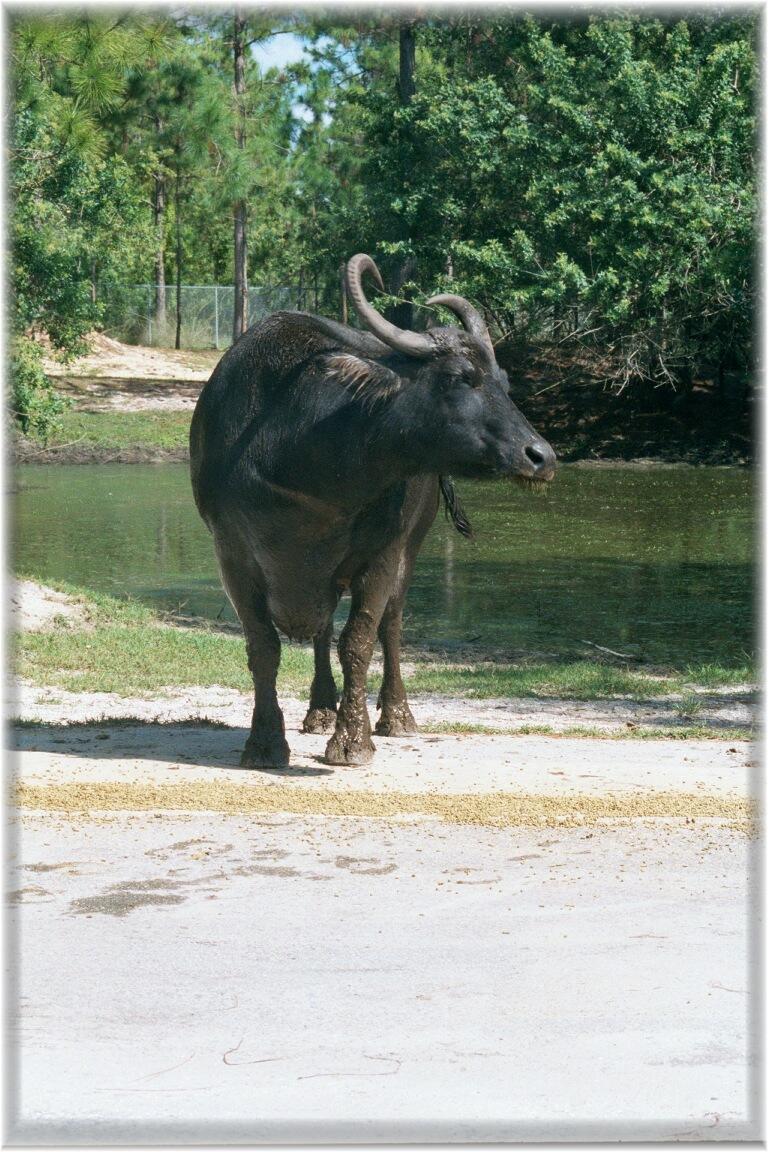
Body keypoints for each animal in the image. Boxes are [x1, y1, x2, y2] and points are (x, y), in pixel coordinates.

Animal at [191, 252, 552, 764]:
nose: (540, 456)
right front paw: (264, 742)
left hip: (411, 545)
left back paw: (395, 715)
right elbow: (264, 647)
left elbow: (359, 640)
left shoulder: (382, 553)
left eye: (503, 383)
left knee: (391, 625)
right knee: (322, 629)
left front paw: (352, 741)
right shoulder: (233, 554)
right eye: (459, 377)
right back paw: (321, 709)